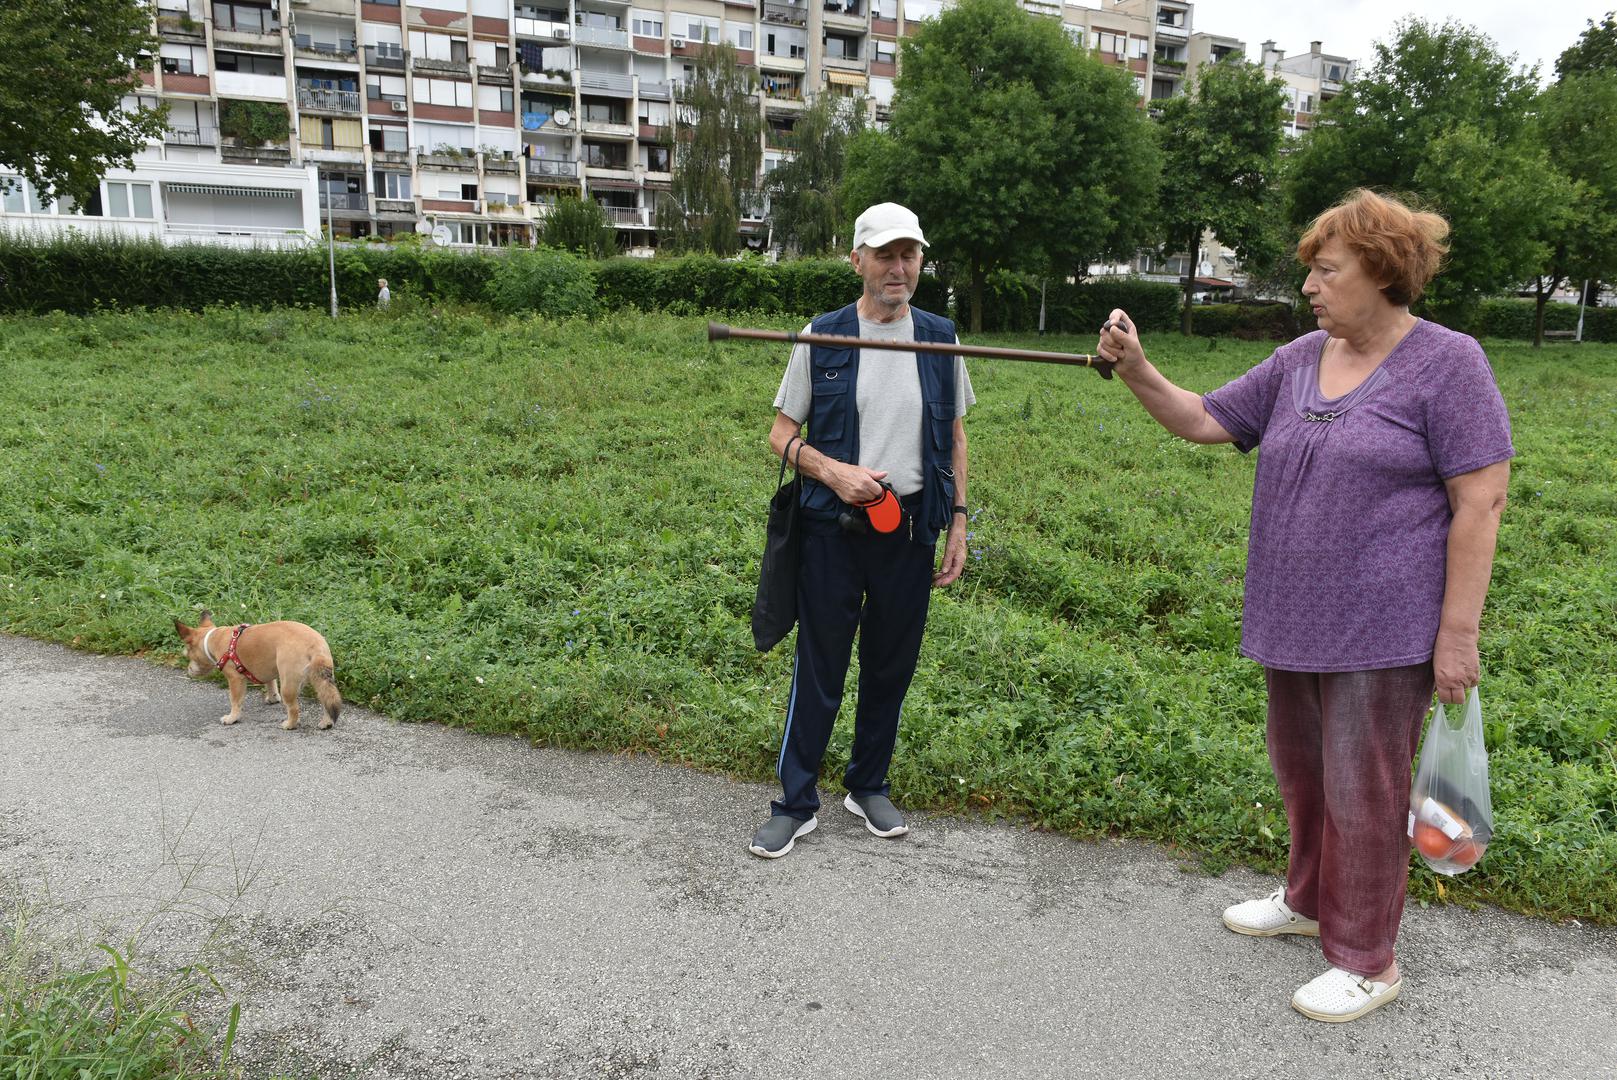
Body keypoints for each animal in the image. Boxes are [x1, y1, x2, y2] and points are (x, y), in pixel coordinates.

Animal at [176, 611, 341, 730]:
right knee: (326, 699)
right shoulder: (268, 668)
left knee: (294, 708)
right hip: (321, 678)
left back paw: (289, 725)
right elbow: (271, 684)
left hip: (289, 684)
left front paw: (232, 718)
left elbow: (235, 700)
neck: (212, 638)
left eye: (187, 655)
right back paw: (327, 722)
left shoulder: (235, 679)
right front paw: (272, 698)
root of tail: (315, 646)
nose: (188, 670)